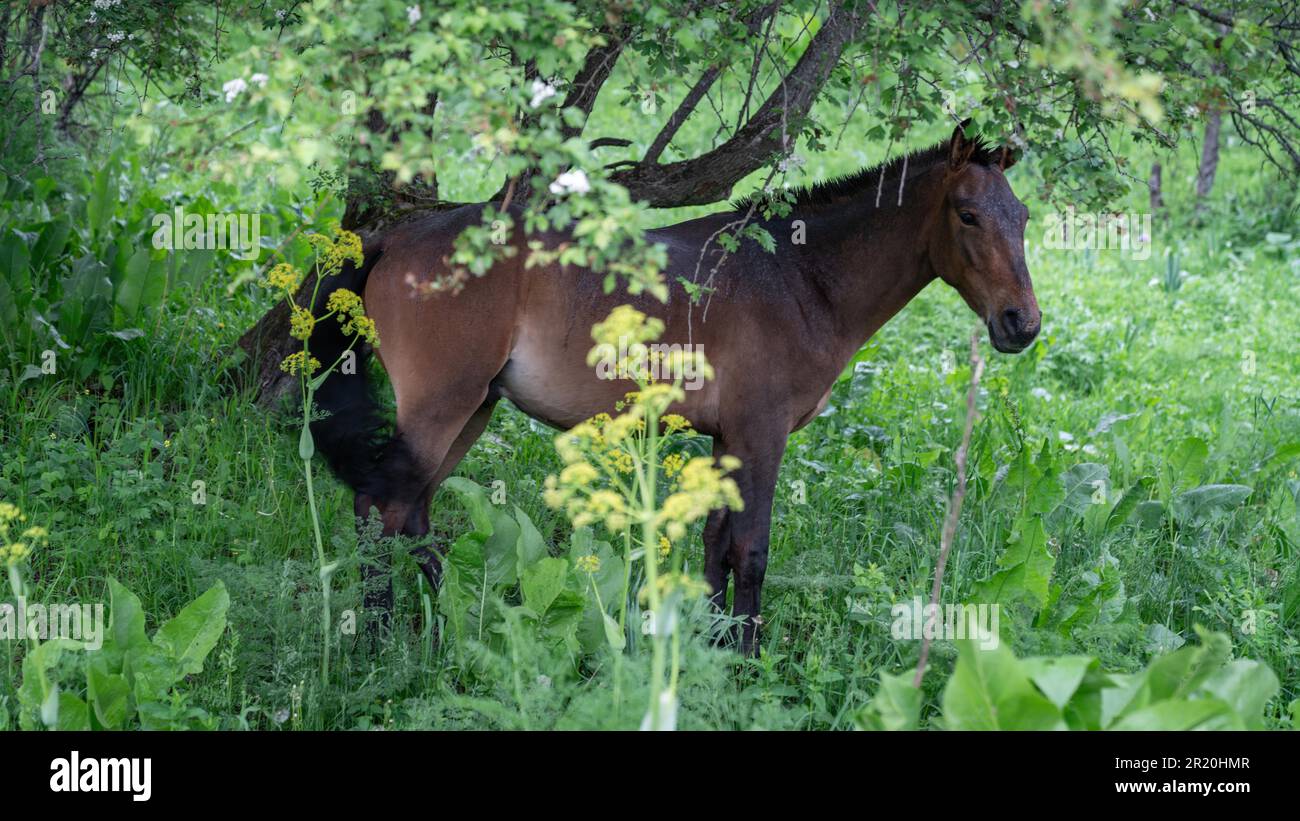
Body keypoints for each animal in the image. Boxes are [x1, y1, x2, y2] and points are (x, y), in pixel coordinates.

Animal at [309, 123, 1041, 655]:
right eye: (968, 215)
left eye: (1025, 216)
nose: (1021, 324)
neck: (798, 275)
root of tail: (393, 237)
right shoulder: (760, 435)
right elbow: (750, 550)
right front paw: (746, 661)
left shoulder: (726, 439)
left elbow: (715, 545)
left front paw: (711, 651)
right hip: (444, 407)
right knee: (381, 507)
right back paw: (381, 644)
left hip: (474, 409)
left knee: (413, 514)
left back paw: (454, 624)